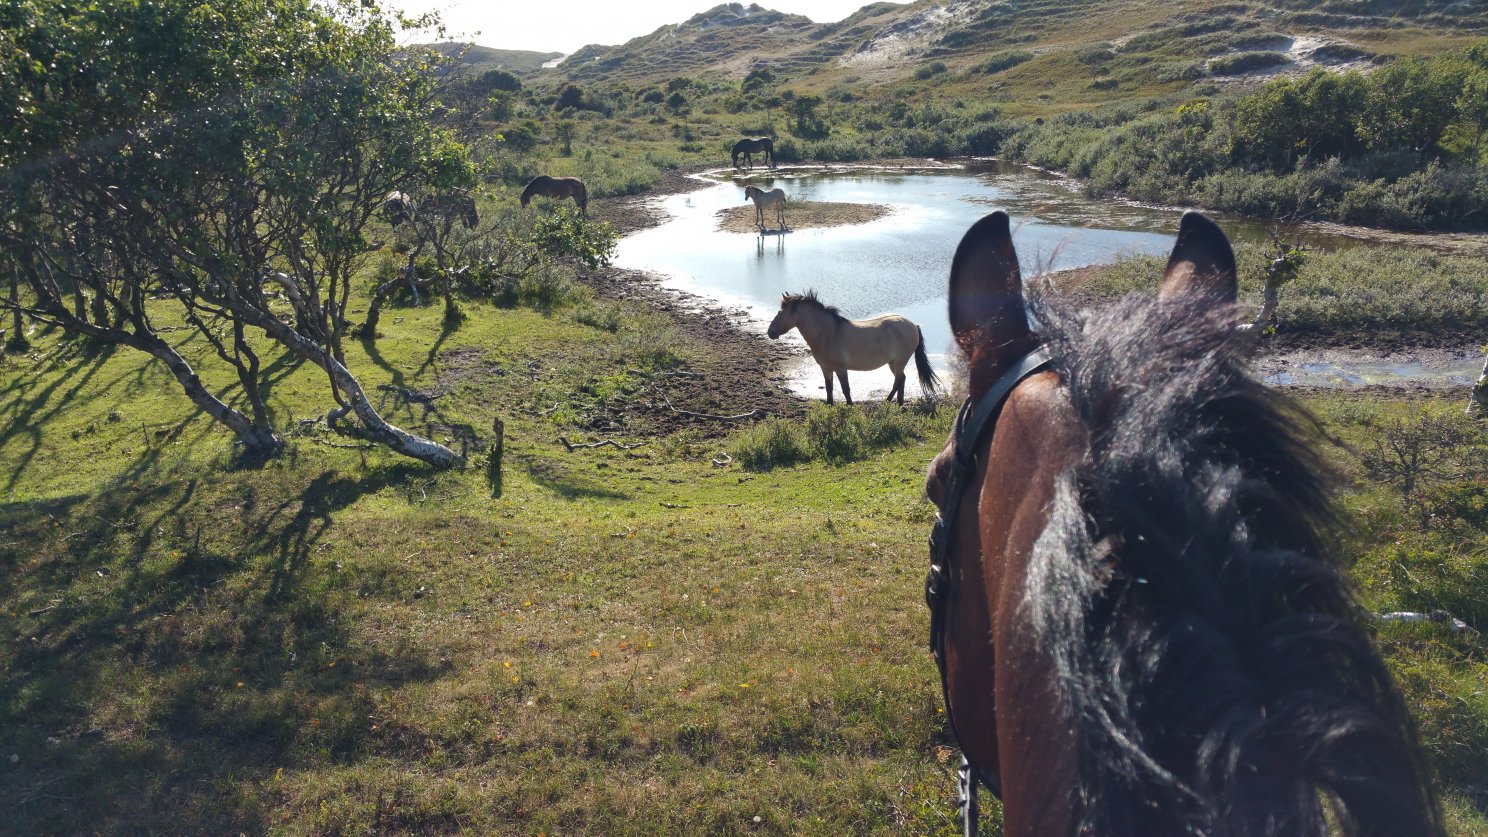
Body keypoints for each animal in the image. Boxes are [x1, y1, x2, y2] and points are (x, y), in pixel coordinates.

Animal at [766, 290, 938, 405]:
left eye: (780, 312)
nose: (770, 332)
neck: (828, 333)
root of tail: (913, 325)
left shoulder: (841, 368)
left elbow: (845, 389)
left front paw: (850, 406)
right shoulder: (826, 368)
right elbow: (829, 388)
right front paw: (829, 405)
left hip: (900, 360)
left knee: (898, 379)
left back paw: (888, 400)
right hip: (893, 362)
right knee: (901, 378)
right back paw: (898, 402)